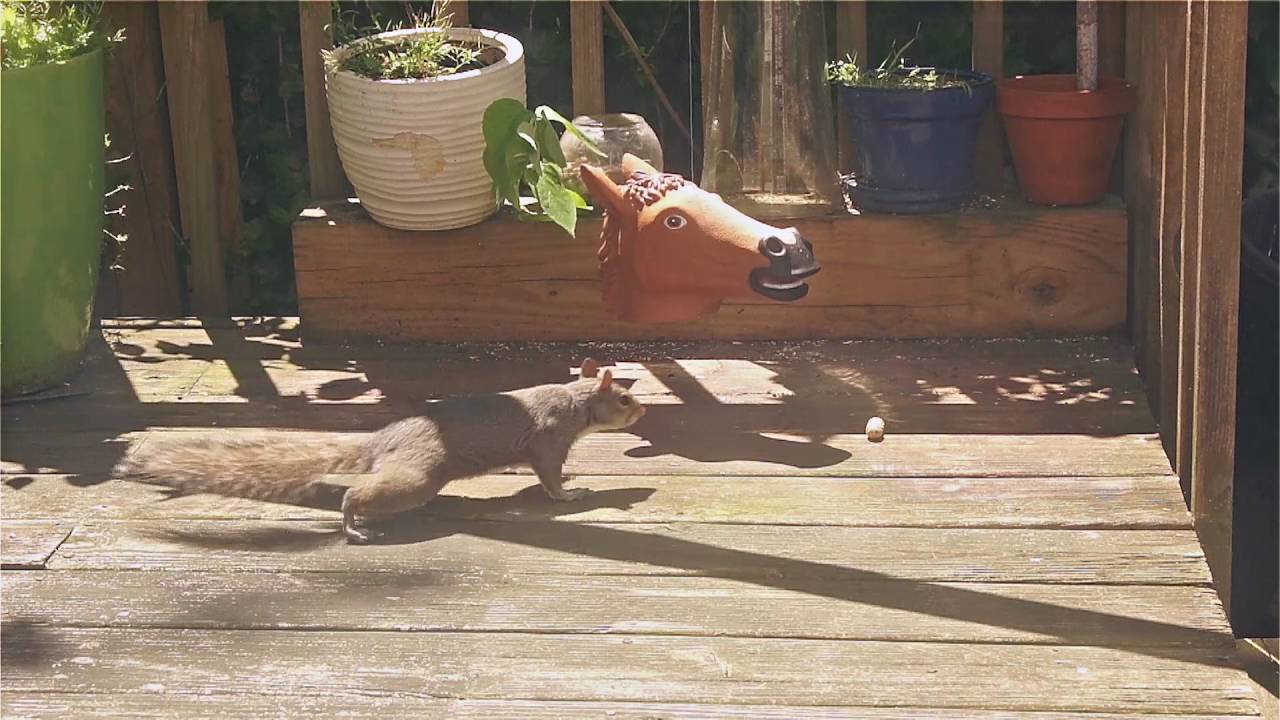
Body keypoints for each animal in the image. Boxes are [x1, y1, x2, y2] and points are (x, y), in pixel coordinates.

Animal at [112, 358, 645, 543]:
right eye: (623, 398)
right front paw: (570, 495)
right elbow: (549, 476)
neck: (574, 400)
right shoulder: (550, 438)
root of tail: (383, 441)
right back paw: (353, 523)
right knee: (360, 493)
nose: (641, 412)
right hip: (415, 478)